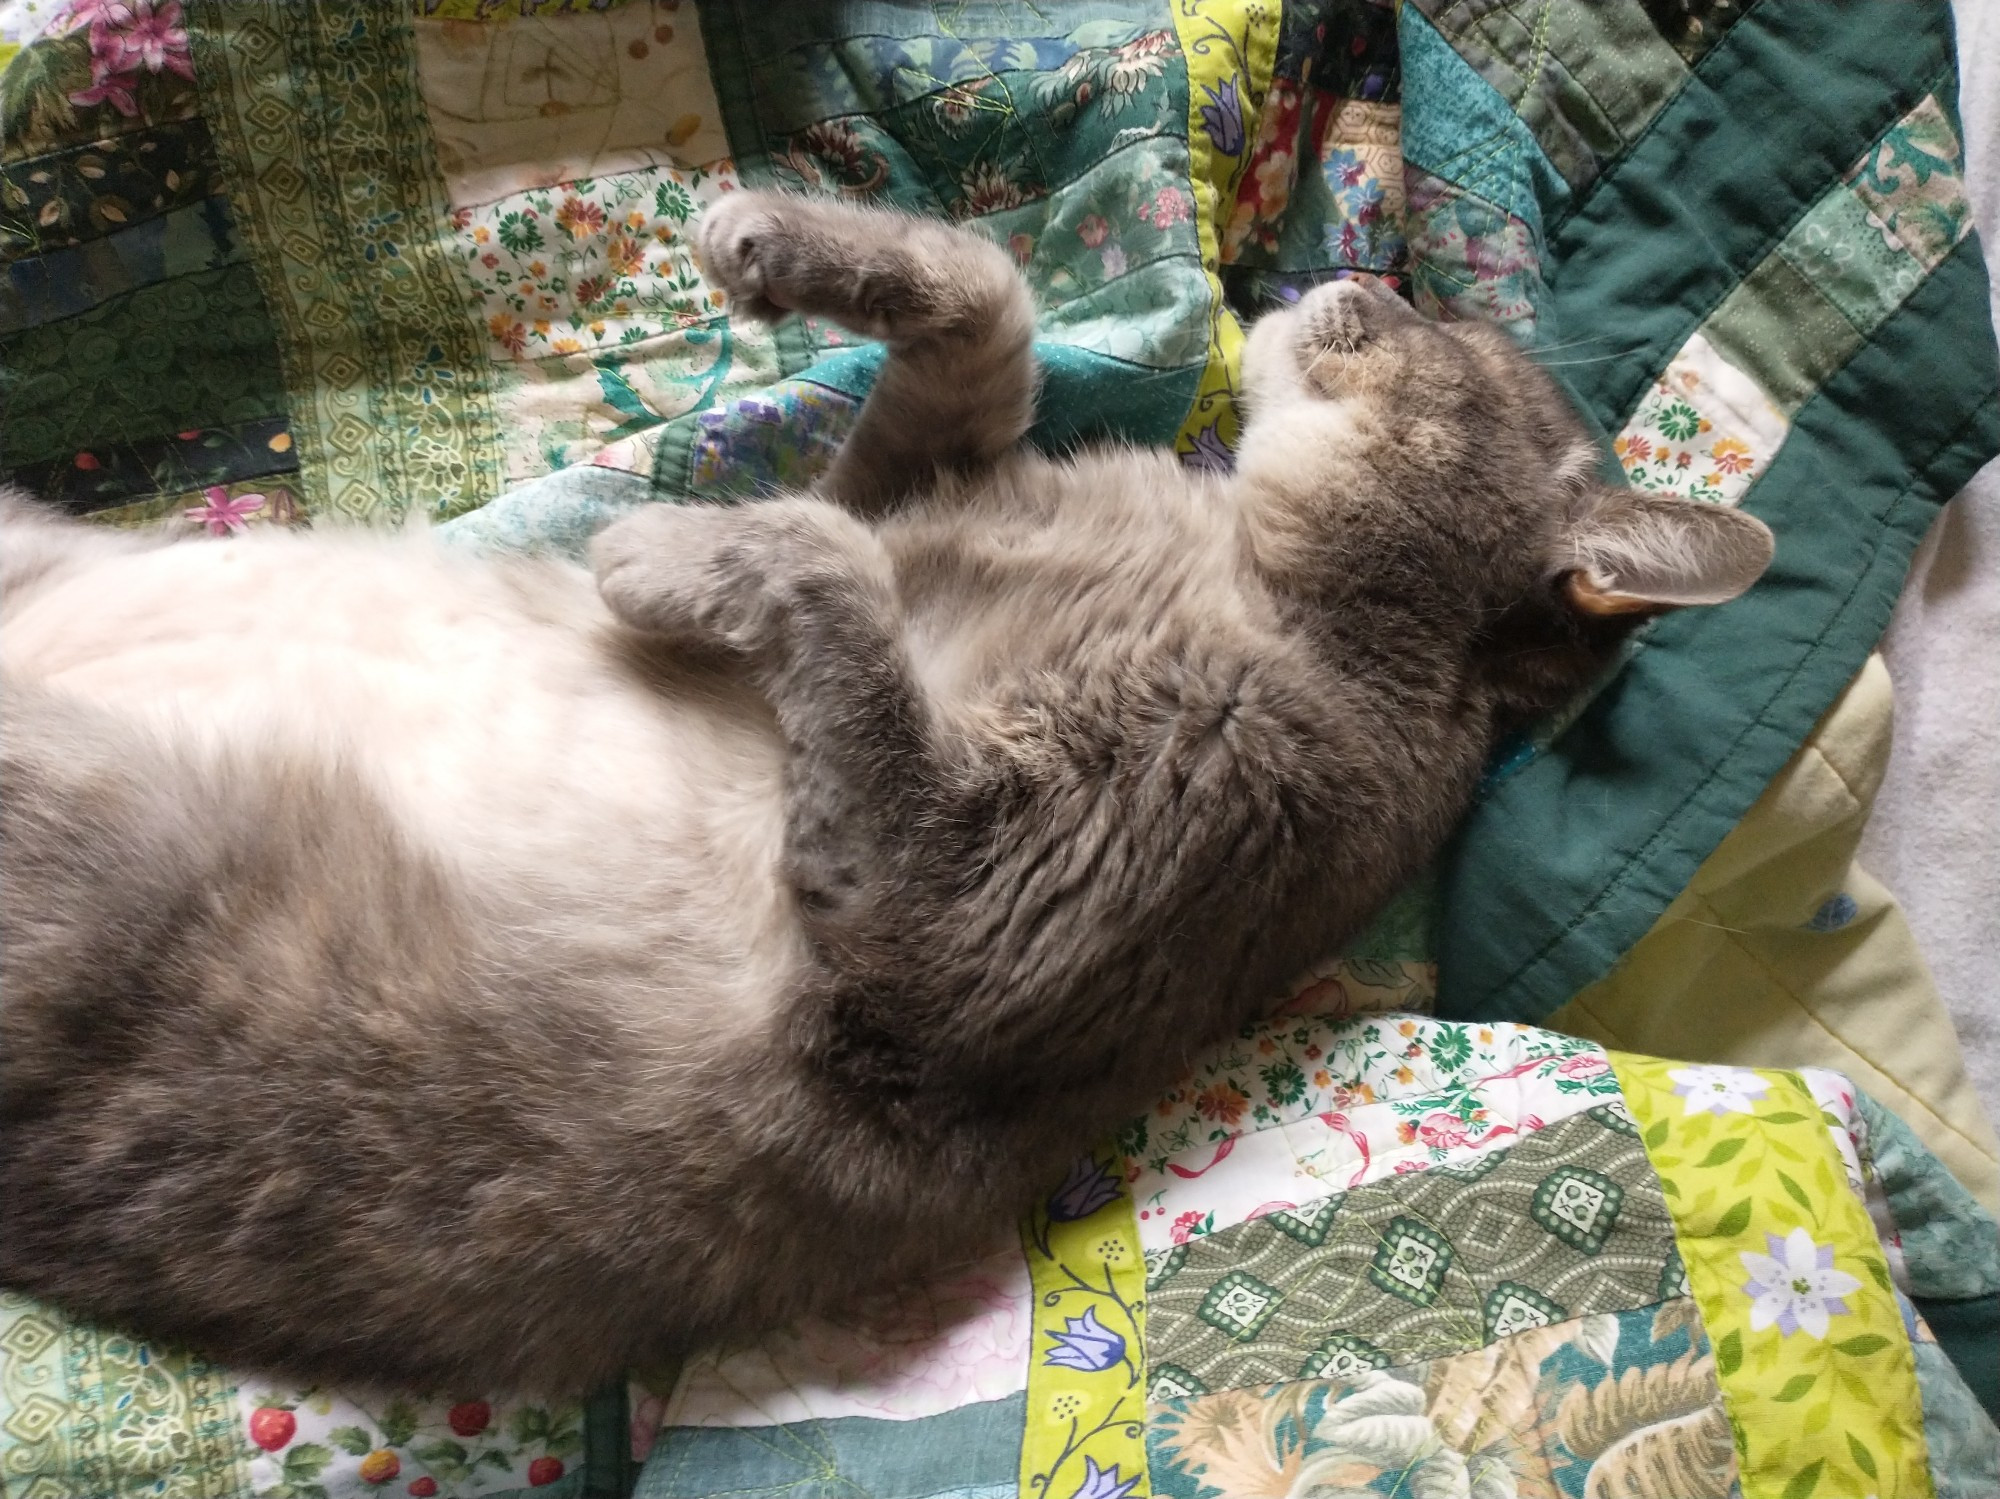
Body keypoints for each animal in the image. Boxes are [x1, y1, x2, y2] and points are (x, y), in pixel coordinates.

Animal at [0, 190, 1776, 1399]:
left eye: (1453, 348)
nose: (1358, 271)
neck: (1236, 560)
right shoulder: (915, 475)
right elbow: (985, 302)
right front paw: (771, 241)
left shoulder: (964, 919)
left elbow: (823, 557)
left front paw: (653, 548)